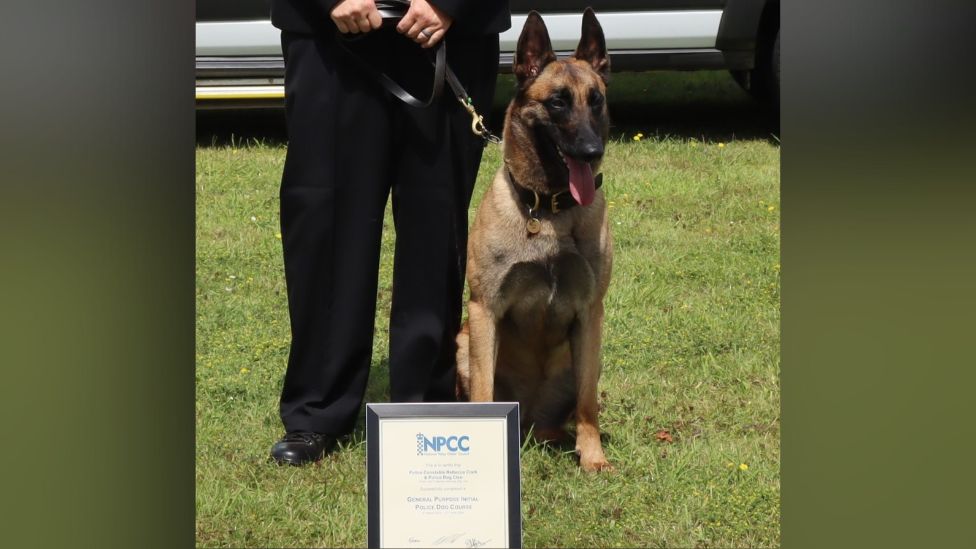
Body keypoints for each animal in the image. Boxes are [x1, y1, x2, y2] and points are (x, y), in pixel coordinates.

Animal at [456, 8, 608, 470]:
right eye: (557, 101)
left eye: (596, 100)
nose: (593, 151)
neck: (548, 208)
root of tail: (528, 425)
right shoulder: (484, 310)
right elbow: (483, 396)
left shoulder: (590, 314)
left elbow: (588, 403)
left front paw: (593, 455)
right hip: (464, 343)